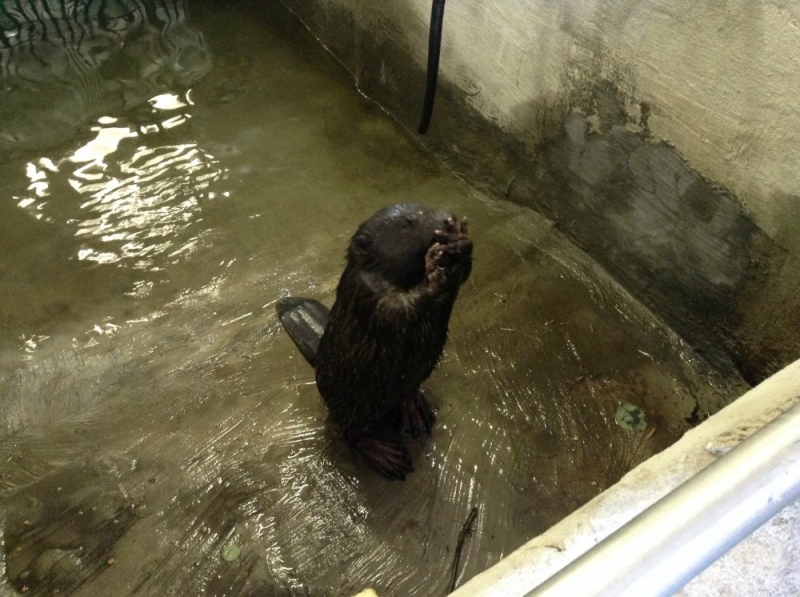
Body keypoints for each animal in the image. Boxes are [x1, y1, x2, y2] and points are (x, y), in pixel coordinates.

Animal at [278, 205, 472, 480]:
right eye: (407, 223)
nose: (448, 219)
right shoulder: (366, 291)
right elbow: (397, 310)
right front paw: (435, 267)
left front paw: (461, 242)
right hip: (348, 403)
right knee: (351, 433)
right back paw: (390, 457)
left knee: (408, 392)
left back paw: (418, 417)